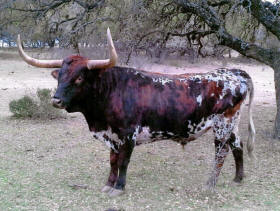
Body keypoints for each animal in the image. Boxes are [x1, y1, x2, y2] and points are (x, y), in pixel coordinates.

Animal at [16, 28, 255, 196]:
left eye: (80, 78)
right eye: (59, 76)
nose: (56, 100)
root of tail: (234, 73)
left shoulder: (128, 133)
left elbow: (123, 161)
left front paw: (119, 188)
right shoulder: (111, 136)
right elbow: (113, 161)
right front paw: (108, 184)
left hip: (223, 124)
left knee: (221, 152)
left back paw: (210, 184)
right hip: (231, 124)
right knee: (238, 146)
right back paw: (238, 179)